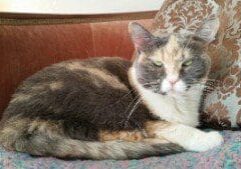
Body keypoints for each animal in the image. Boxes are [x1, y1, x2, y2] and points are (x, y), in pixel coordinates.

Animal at [0, 19, 224, 160]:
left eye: (187, 63)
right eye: (157, 64)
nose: (172, 80)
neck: (179, 104)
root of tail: (10, 122)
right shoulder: (145, 118)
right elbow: (174, 127)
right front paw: (209, 138)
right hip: (106, 98)